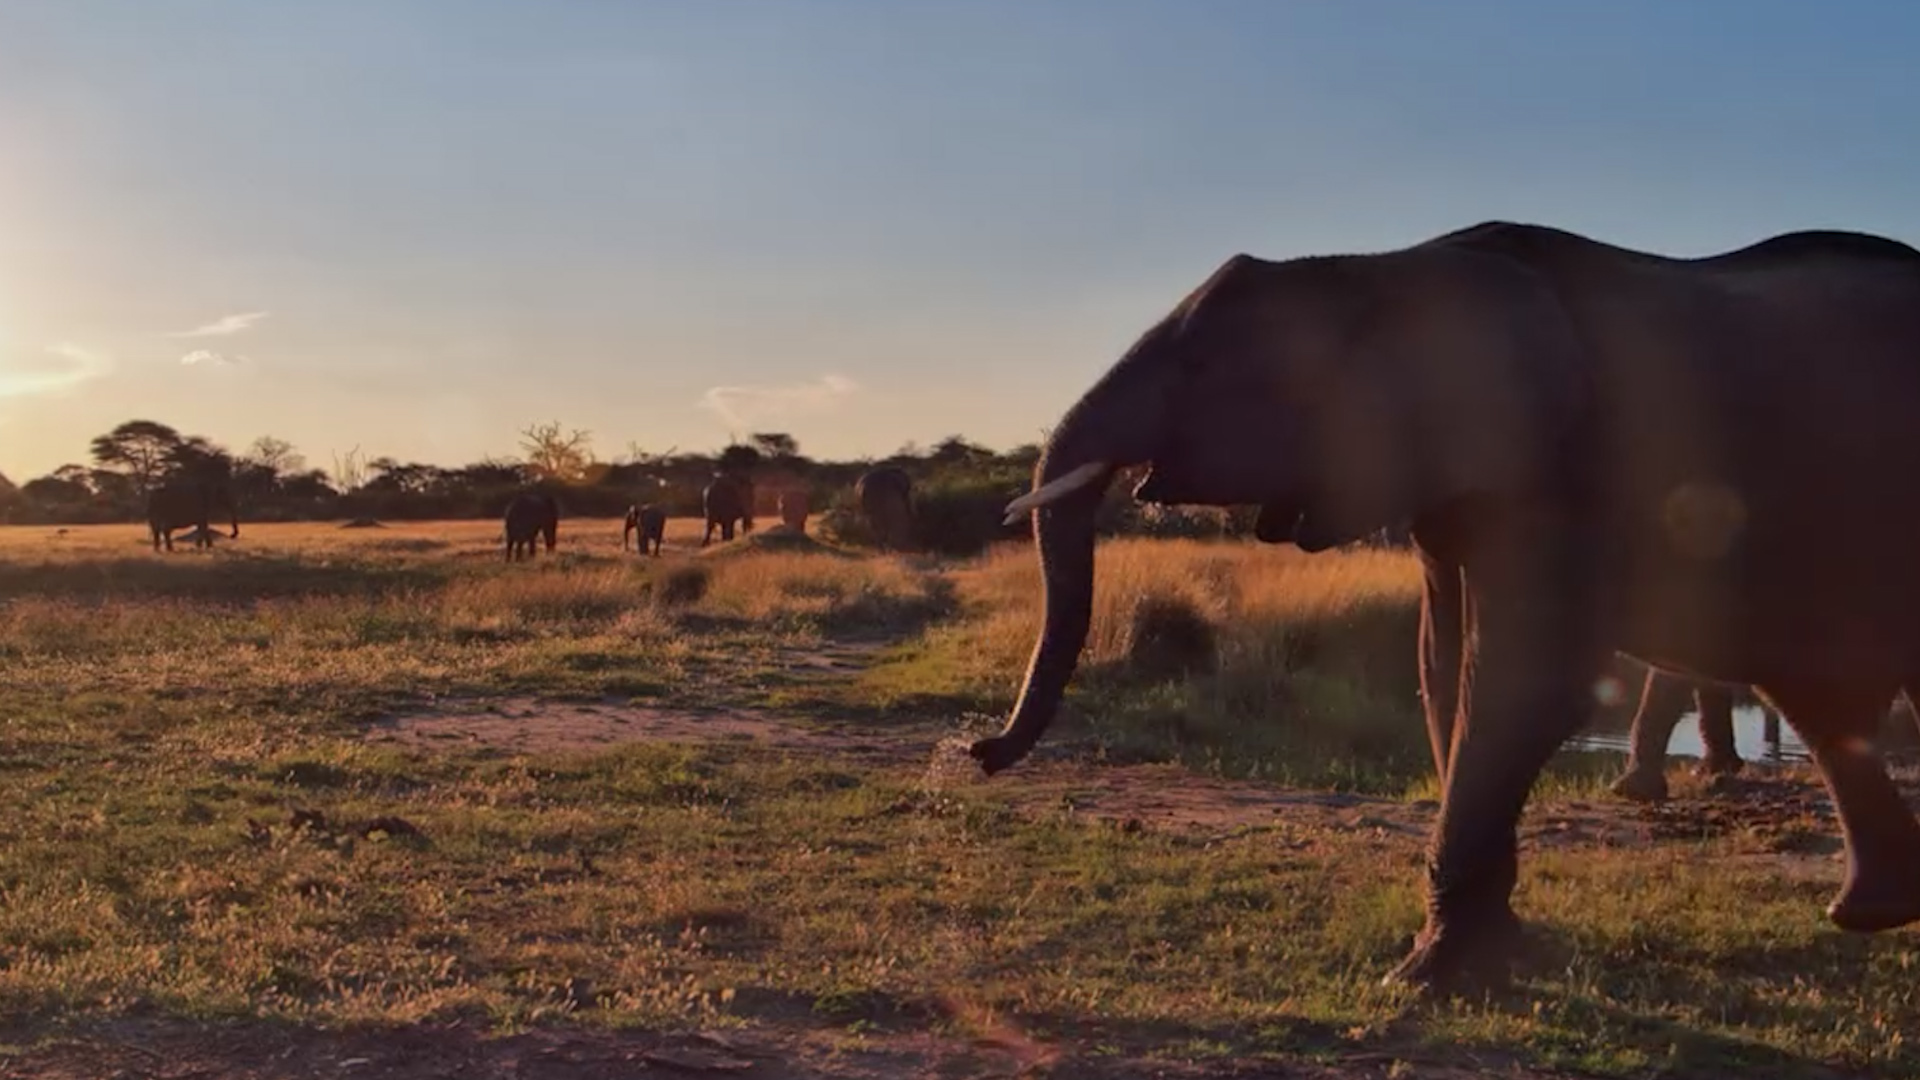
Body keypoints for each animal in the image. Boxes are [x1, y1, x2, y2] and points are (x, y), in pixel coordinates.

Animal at [964, 220, 1920, 994]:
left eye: (1202, 367)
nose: (975, 750)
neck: (1384, 267)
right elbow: (1444, 664)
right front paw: (1484, 950)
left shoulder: (1553, 465)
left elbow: (1524, 681)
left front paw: (1424, 977)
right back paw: (1867, 914)